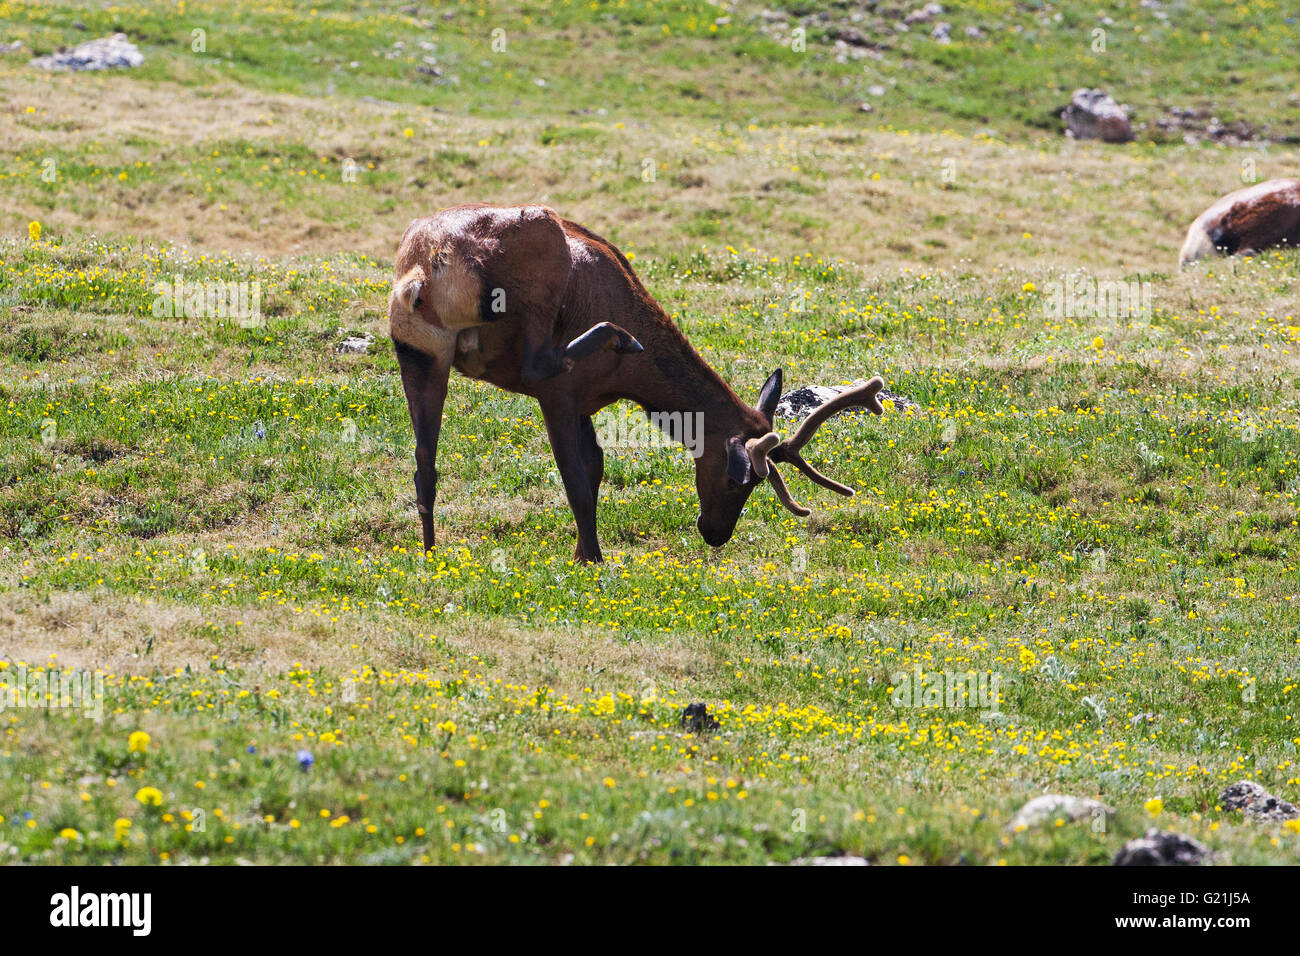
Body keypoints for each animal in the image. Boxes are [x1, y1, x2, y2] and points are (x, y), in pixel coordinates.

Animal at [388, 203, 884, 563]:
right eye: (736, 480)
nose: (715, 533)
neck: (628, 382)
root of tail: (421, 272)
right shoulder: (561, 395)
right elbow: (576, 477)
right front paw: (591, 558)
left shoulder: (585, 402)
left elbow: (595, 467)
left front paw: (580, 551)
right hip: (538, 250)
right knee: (538, 363)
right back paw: (619, 336)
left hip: (420, 352)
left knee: (423, 460)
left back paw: (430, 552)